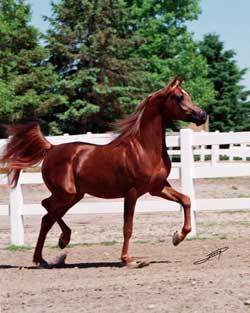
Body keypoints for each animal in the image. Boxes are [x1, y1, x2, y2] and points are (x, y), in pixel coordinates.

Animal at [0, 78, 207, 266]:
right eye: (179, 97)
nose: (202, 115)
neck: (144, 148)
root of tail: (51, 148)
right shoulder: (132, 193)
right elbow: (127, 227)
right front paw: (127, 259)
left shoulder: (157, 188)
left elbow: (186, 200)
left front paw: (177, 237)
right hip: (66, 194)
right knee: (46, 205)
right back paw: (63, 240)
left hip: (74, 196)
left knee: (47, 218)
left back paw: (41, 258)